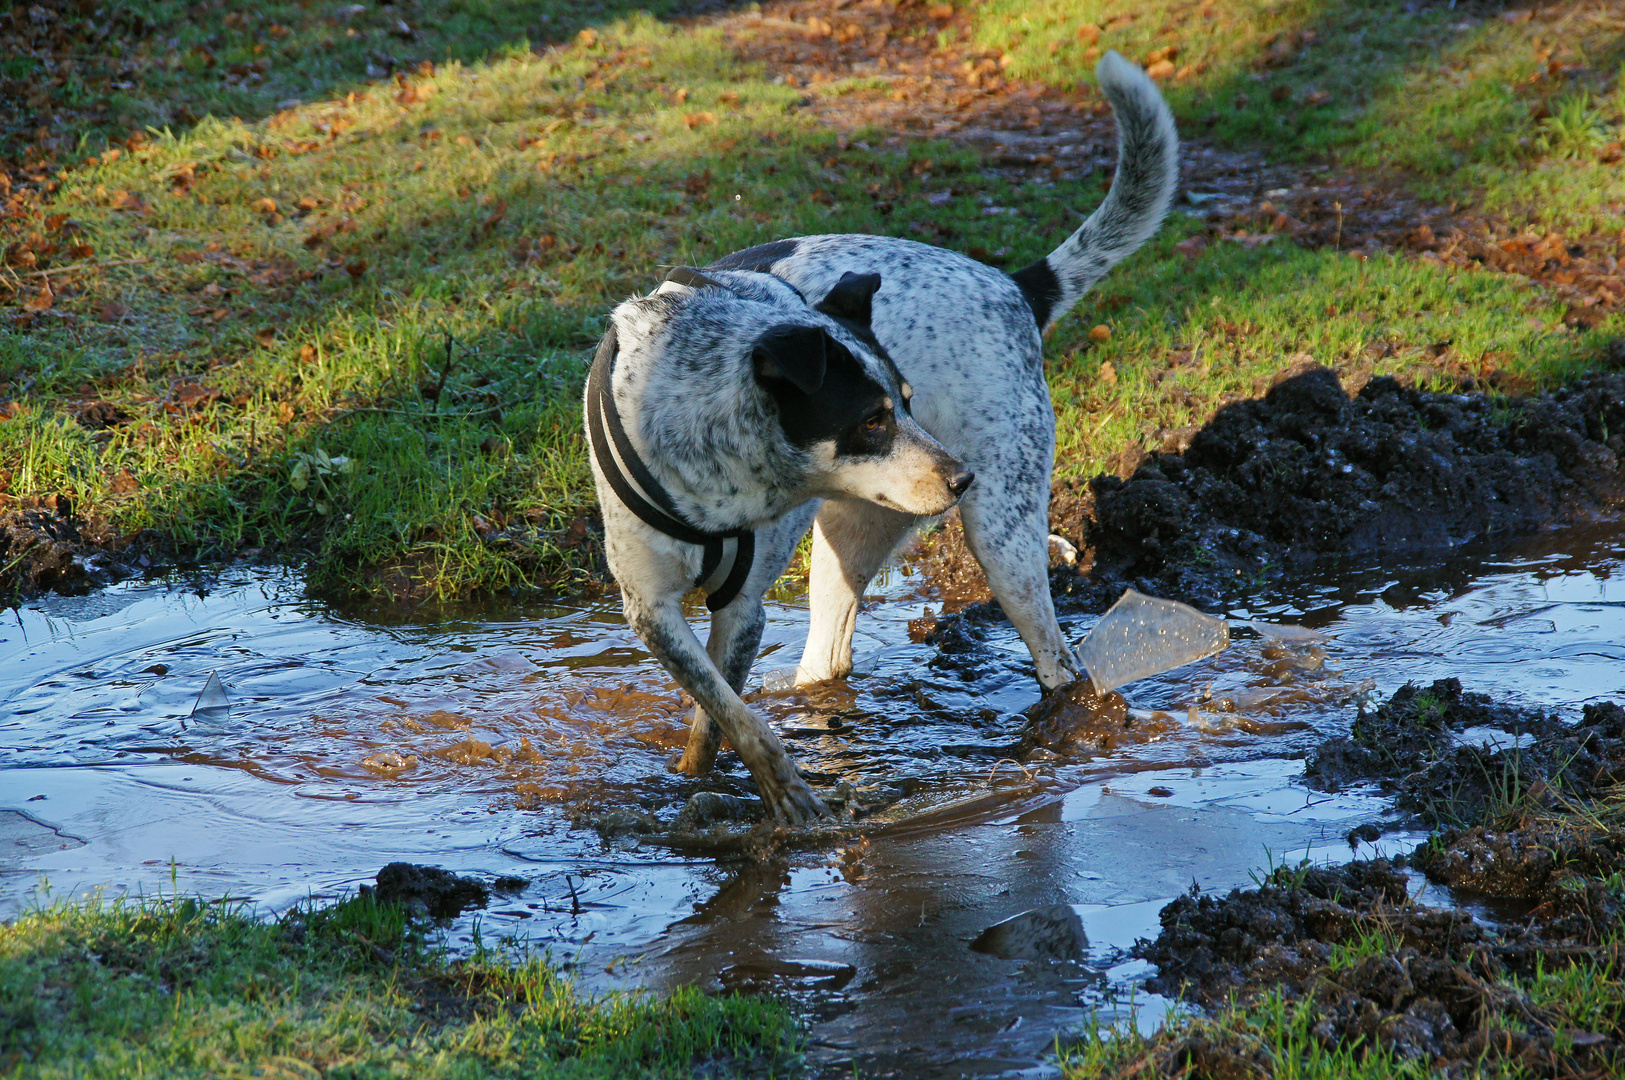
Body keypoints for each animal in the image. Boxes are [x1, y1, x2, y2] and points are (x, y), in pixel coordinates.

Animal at [588, 52, 1183, 825]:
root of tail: (1013, 286)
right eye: (871, 419)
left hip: (1003, 541)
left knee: (1061, 665)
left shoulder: (742, 609)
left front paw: (776, 794)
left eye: (903, 400)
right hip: (852, 538)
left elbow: (721, 712)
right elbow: (722, 712)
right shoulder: (651, 610)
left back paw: (1057, 738)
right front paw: (723, 782)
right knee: (827, 659)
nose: (960, 476)